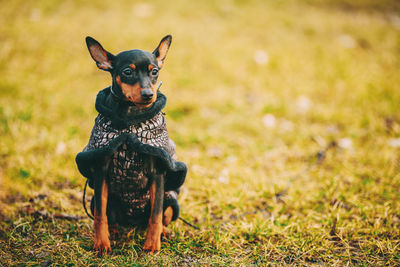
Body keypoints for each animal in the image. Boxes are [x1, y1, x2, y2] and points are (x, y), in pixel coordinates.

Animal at [75, 35, 188, 255]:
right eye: (128, 72)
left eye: (154, 71)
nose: (148, 94)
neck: (129, 120)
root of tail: (133, 222)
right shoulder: (101, 171)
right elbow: (100, 215)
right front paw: (101, 243)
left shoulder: (158, 173)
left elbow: (155, 215)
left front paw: (152, 245)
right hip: (100, 200)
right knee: (108, 215)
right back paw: (114, 231)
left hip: (170, 198)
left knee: (162, 215)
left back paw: (164, 233)